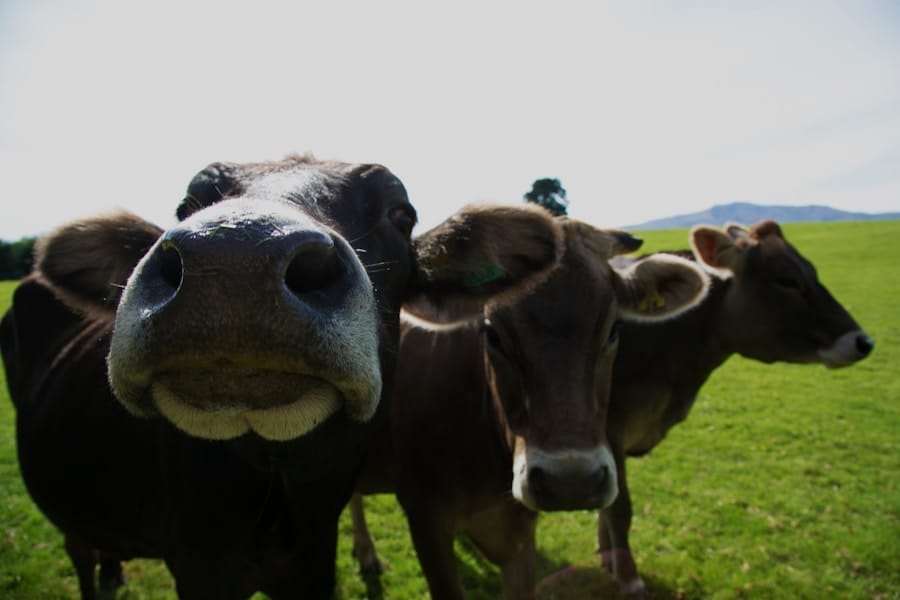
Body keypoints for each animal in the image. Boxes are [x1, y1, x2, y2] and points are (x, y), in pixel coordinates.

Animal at [1, 155, 573, 599]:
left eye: (401, 213)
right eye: (187, 205)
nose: (233, 258)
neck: (275, 500)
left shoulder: (314, 564)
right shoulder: (199, 570)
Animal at [597, 220, 874, 595]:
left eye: (811, 271)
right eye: (787, 280)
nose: (863, 342)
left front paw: (607, 559)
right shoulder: (609, 428)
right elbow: (619, 509)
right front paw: (630, 579)